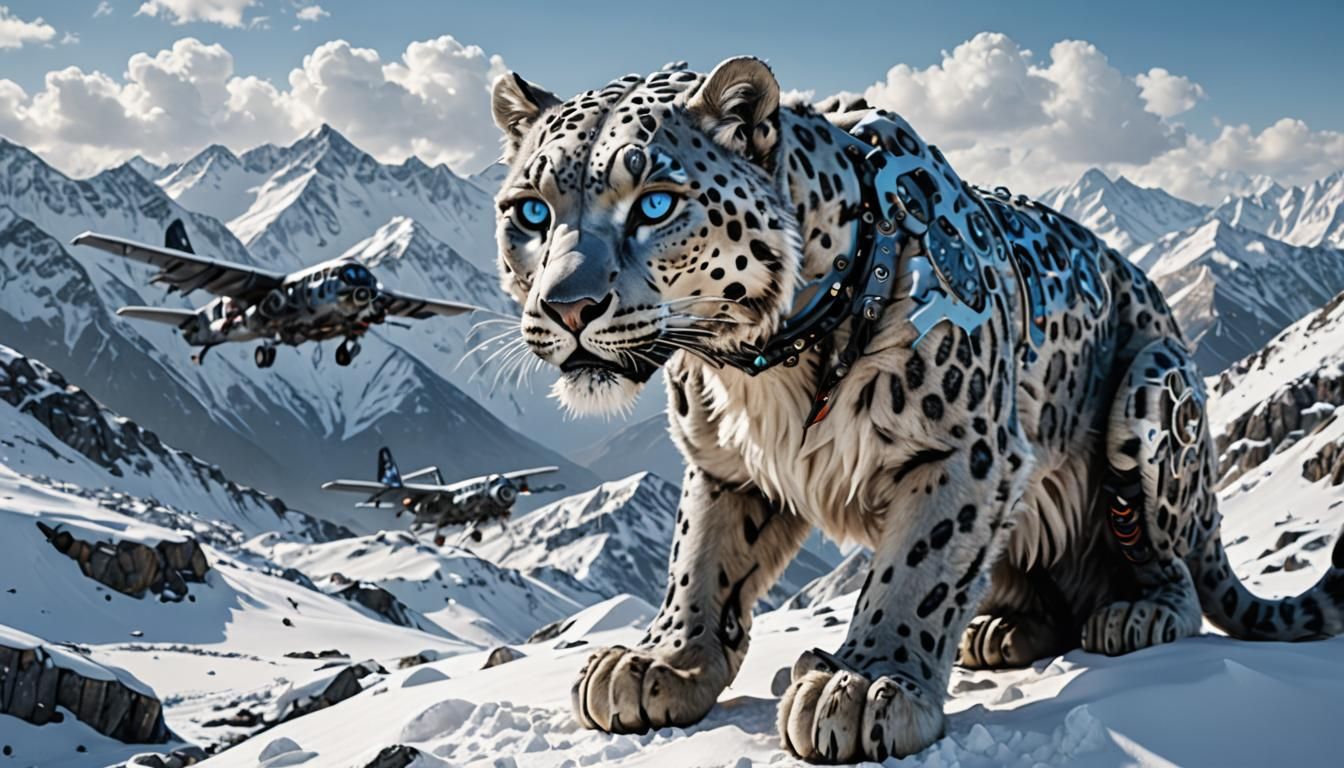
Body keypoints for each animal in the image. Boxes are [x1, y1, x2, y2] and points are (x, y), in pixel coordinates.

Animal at [486, 57, 1344, 763]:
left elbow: (916, 570)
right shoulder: (725, 465)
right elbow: (700, 559)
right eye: (530, 212)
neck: (758, 371)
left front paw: (867, 685)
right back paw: (1001, 631)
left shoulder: (966, 451)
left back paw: (1135, 615)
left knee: (1177, 570)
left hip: (1153, 392)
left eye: (656, 203)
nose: (566, 307)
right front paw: (659, 663)